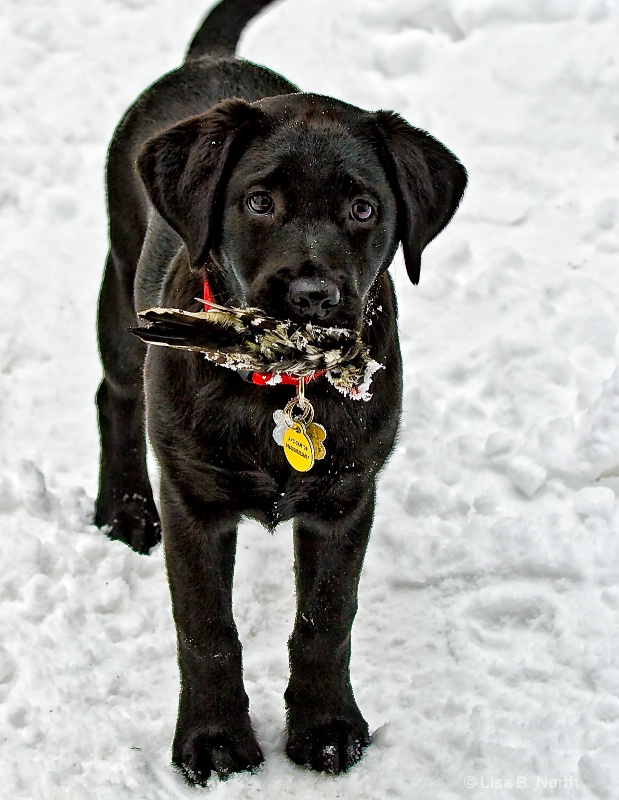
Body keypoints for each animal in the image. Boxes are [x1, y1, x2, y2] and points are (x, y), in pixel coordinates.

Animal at [94, 0, 468, 788]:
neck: (279, 389)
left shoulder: (345, 496)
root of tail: (208, 62)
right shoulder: (194, 501)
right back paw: (124, 508)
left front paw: (325, 728)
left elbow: (327, 620)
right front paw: (214, 742)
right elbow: (206, 628)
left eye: (363, 209)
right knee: (115, 395)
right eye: (259, 201)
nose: (311, 296)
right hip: (121, 282)